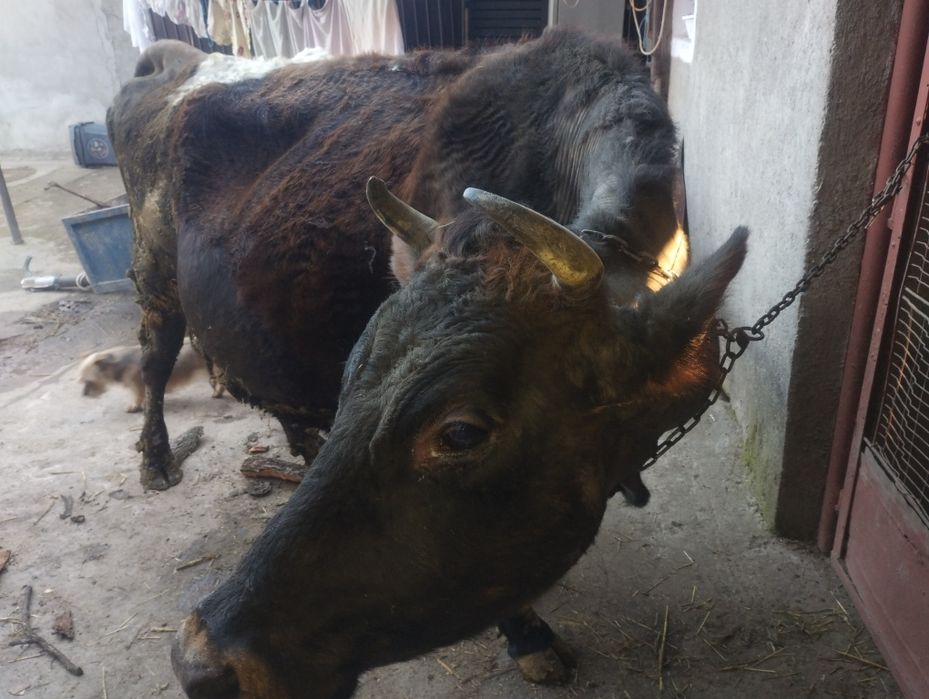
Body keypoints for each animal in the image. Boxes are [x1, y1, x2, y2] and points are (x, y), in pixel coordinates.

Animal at [108, 28, 747, 698]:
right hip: (153, 274)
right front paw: (530, 638)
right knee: (154, 359)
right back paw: (156, 460)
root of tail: (176, 57)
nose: (197, 661)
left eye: (461, 433)